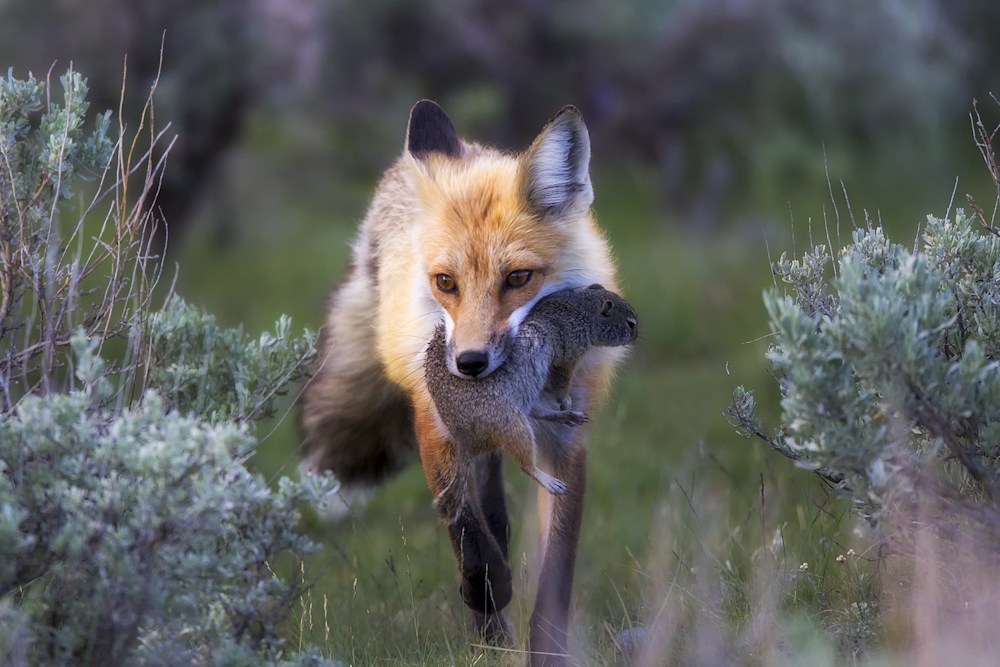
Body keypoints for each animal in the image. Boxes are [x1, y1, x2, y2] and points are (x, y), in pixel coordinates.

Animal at [299, 100, 625, 665]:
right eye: (445, 282)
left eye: (518, 278)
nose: (469, 363)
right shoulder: (435, 423)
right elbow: (466, 534)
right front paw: (489, 605)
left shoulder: (566, 442)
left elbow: (555, 574)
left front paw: (546, 651)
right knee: (483, 511)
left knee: (496, 495)